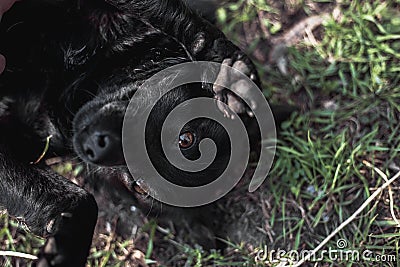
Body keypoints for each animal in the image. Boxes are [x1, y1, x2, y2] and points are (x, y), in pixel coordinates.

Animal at [0, 0, 264, 266]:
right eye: (185, 139)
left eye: (139, 187)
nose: (93, 147)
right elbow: (178, 19)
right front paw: (224, 64)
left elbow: (81, 201)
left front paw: (61, 253)